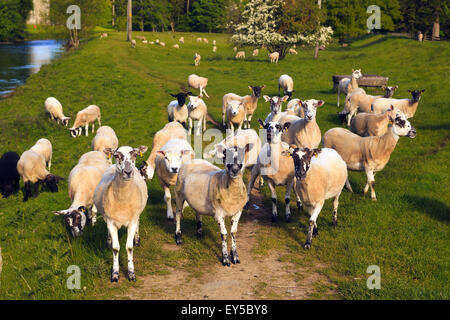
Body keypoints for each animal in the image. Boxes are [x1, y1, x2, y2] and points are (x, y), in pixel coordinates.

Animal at [93, 146, 149, 282]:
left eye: (135, 155)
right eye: (116, 155)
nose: (128, 172)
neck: (123, 199)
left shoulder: (132, 221)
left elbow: (129, 247)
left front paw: (131, 273)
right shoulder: (111, 222)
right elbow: (115, 248)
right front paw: (115, 273)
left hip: (137, 214)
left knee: (138, 223)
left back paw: (137, 239)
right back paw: (108, 241)